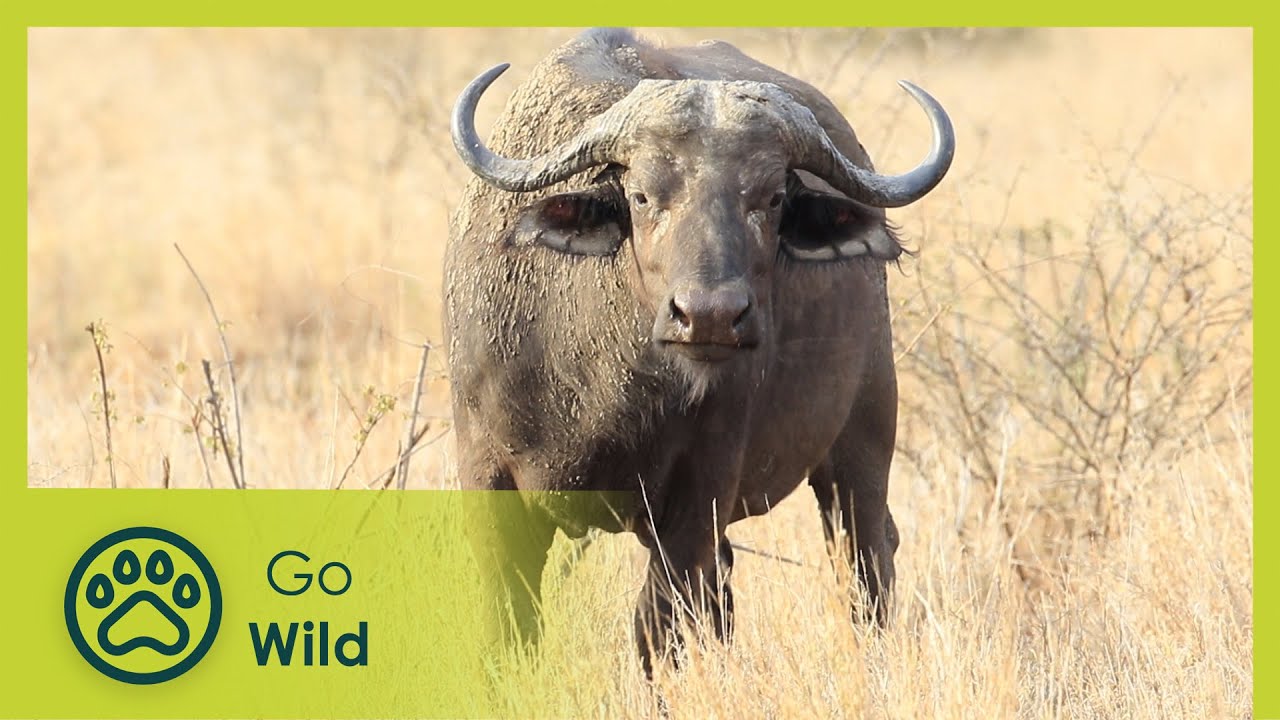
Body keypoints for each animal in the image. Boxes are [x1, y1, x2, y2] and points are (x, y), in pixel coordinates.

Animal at [445, 27, 954, 673]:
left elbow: (656, 630)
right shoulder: (488, 478)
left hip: (863, 437)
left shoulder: (699, 493)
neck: (599, 379)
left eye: (772, 197)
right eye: (640, 195)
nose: (710, 316)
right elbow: (510, 624)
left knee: (866, 561)